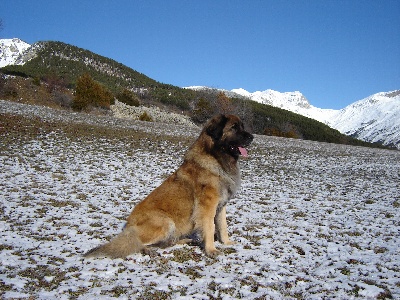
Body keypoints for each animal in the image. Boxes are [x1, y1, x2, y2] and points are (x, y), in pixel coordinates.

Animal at [84, 113, 253, 258]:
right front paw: (211, 250)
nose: (252, 137)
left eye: (242, 126)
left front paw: (227, 242)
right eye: (234, 127)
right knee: (136, 242)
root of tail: (128, 225)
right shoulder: (207, 207)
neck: (216, 158)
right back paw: (148, 249)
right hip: (165, 222)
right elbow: (210, 227)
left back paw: (184, 240)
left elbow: (223, 226)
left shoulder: (221, 205)